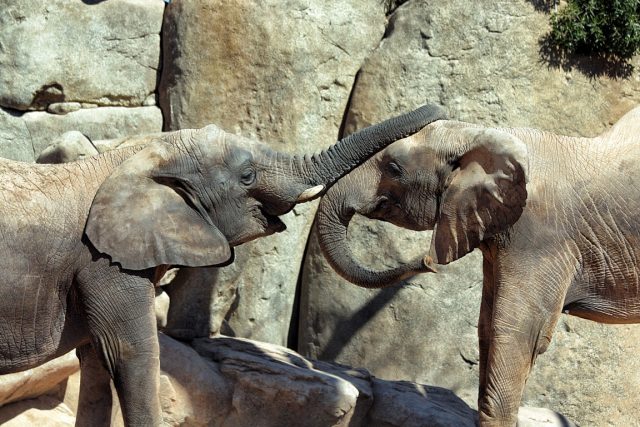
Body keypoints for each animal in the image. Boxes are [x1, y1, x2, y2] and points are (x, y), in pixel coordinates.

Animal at [0, 103, 445, 426]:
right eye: (247, 175)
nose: (427, 263)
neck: (131, 155)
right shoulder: (104, 263)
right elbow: (131, 354)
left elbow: (96, 362)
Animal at [315, 105, 640, 426]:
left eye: (394, 169)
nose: (427, 263)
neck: (483, 137)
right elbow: (487, 324)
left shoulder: (539, 236)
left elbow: (518, 331)